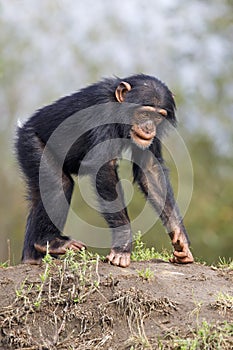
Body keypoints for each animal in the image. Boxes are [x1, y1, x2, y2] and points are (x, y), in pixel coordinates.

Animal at [15, 72, 195, 266]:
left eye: (157, 117)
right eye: (144, 113)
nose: (149, 128)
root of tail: (23, 127)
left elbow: (150, 169)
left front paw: (180, 238)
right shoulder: (103, 113)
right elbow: (105, 168)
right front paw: (122, 247)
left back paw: (33, 257)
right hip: (31, 142)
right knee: (59, 184)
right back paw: (49, 242)